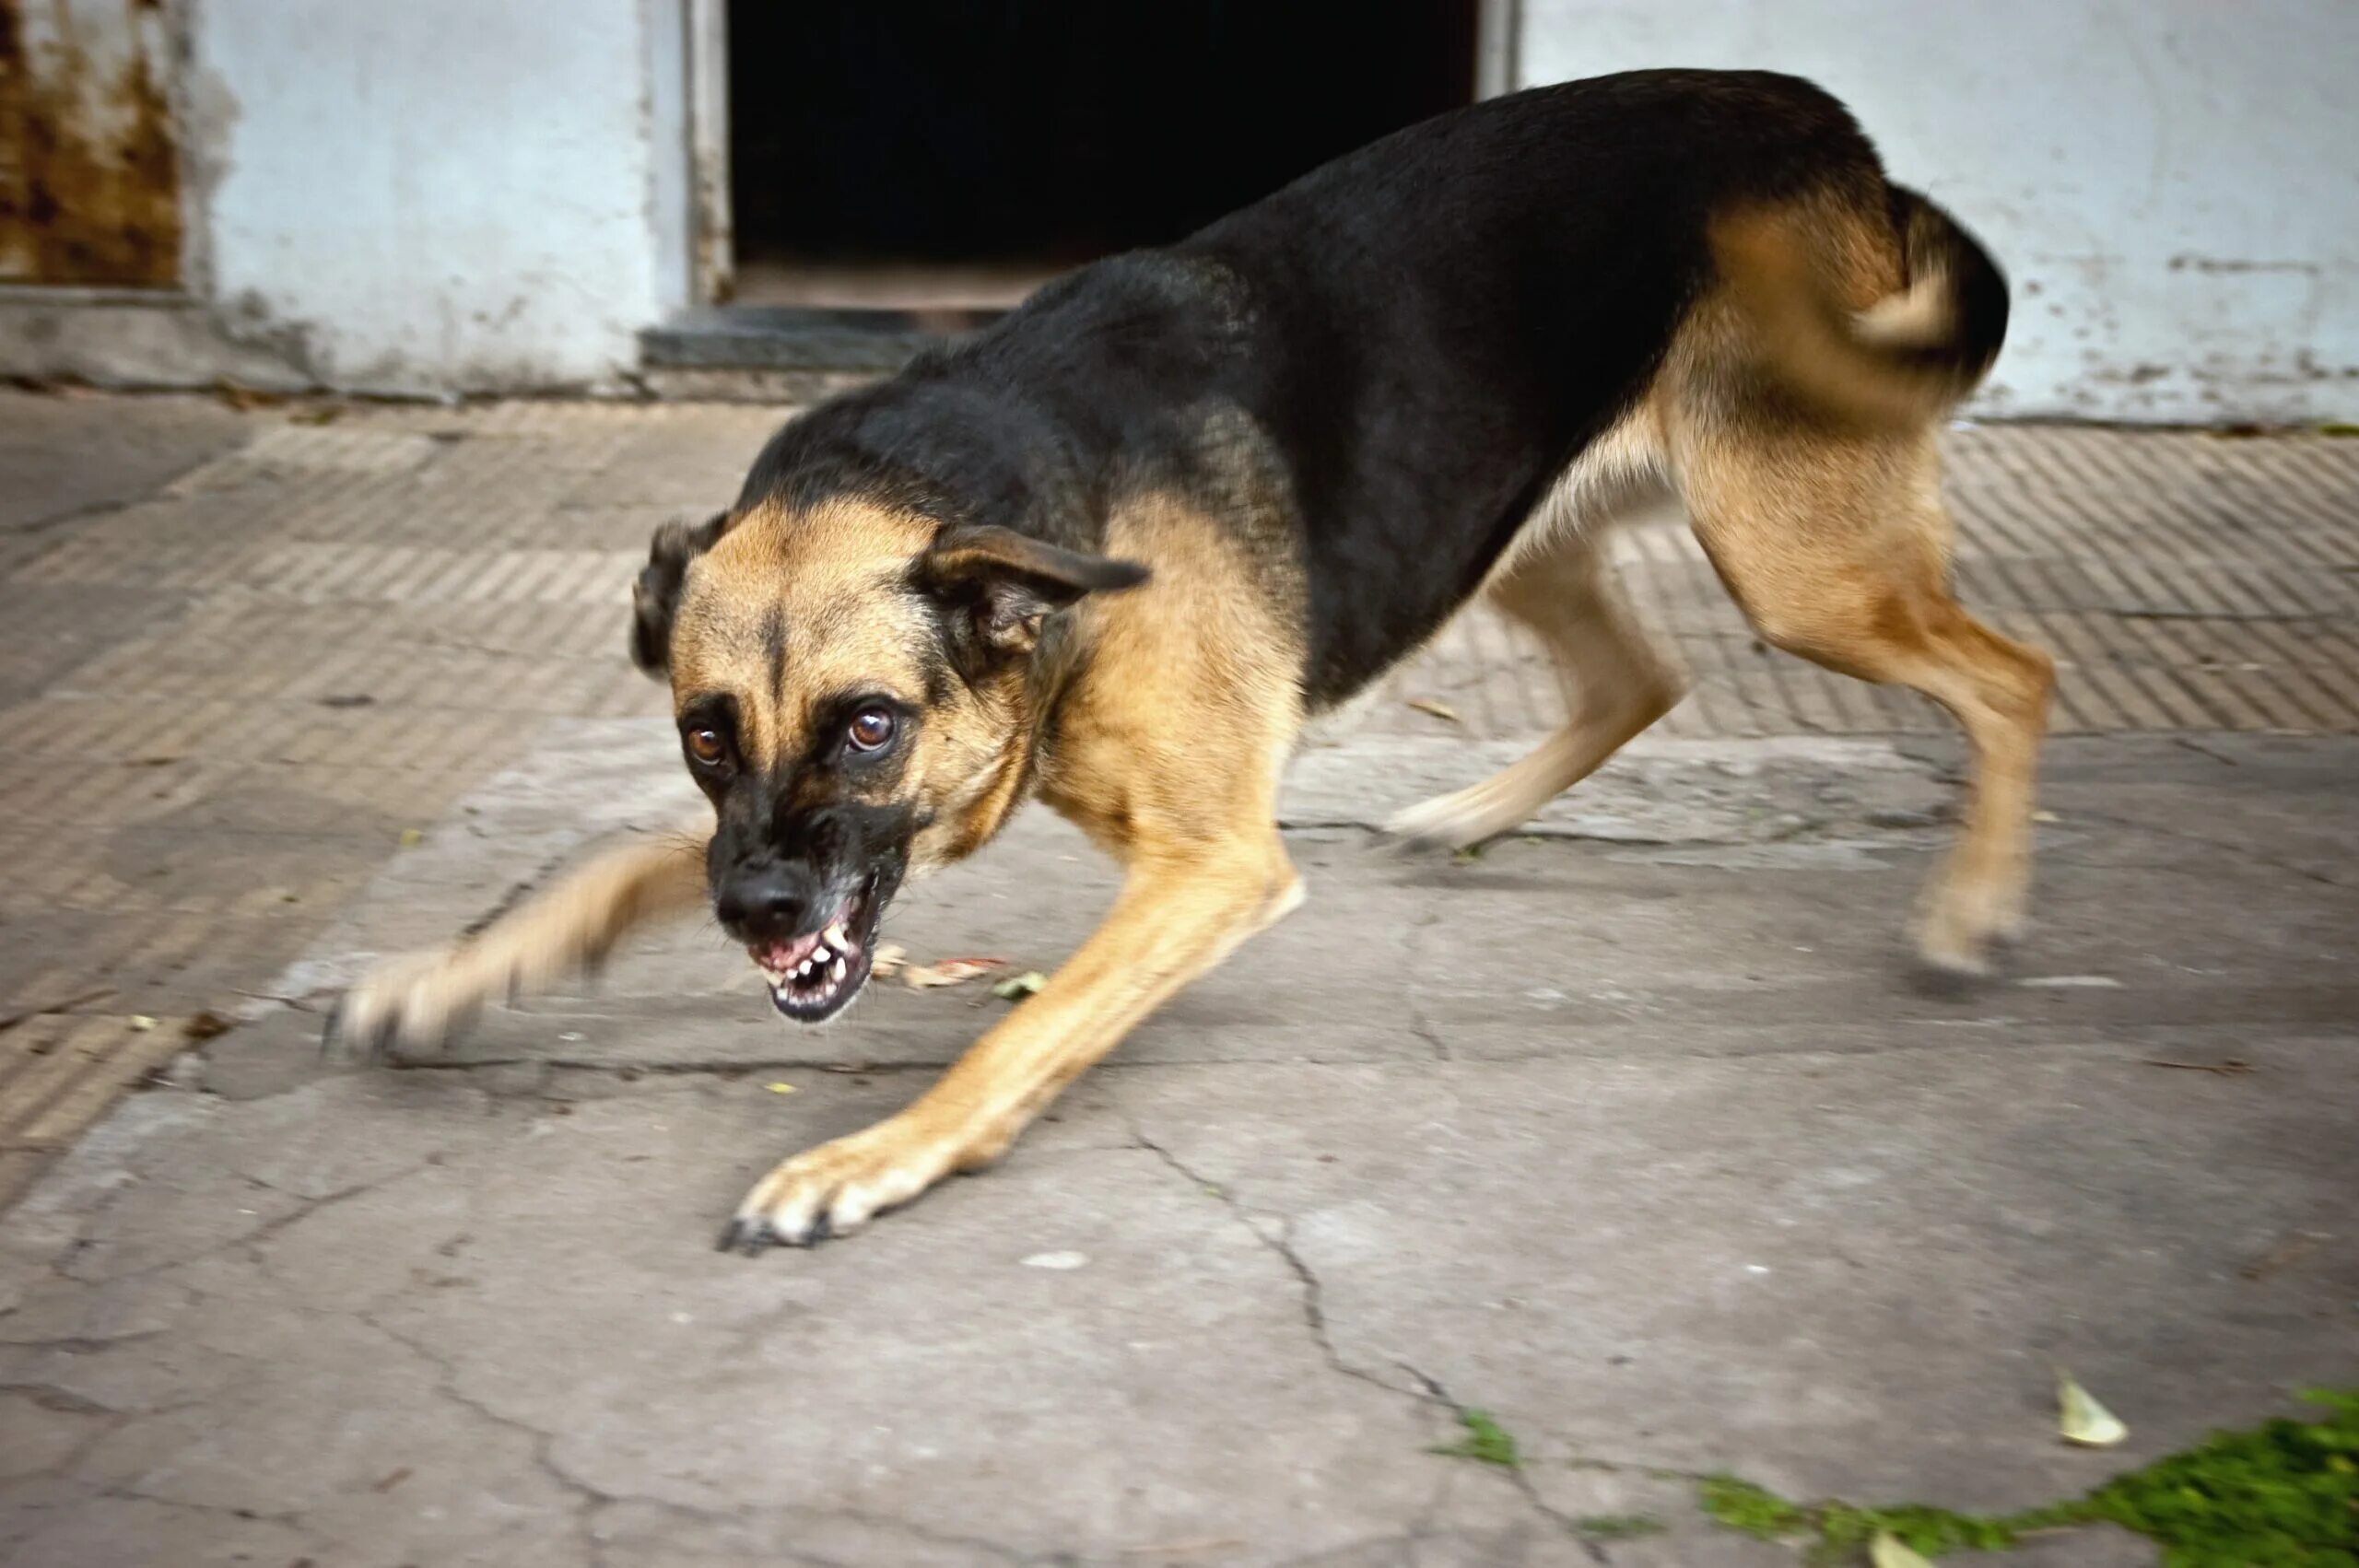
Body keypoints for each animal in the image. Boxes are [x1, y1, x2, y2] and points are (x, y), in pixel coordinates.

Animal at [327, 70, 2048, 1245]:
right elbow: (617, 863)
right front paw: (459, 971)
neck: (1031, 538)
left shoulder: (1211, 867)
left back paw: (1970, 908)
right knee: (1644, 679)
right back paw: (1470, 815)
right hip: (1507, 529)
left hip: (1799, 570)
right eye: (702, 730)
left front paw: (869, 1159)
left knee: (2012, 676)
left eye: (869, 724)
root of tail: (1833, 127)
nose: (753, 919)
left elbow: (1020, 1027)